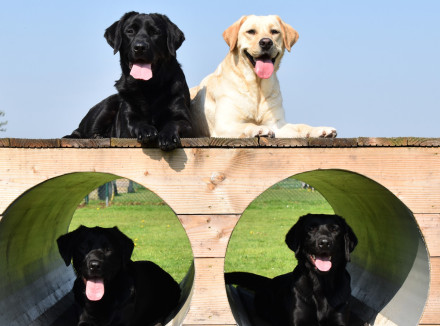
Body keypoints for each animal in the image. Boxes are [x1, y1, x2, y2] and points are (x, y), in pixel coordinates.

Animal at [65, 12, 194, 151]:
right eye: (130, 31)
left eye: (155, 32)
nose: (140, 47)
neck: (149, 87)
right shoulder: (127, 117)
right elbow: (136, 123)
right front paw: (146, 130)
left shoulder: (185, 119)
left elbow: (175, 123)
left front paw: (167, 136)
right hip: (109, 103)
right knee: (81, 132)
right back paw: (98, 136)